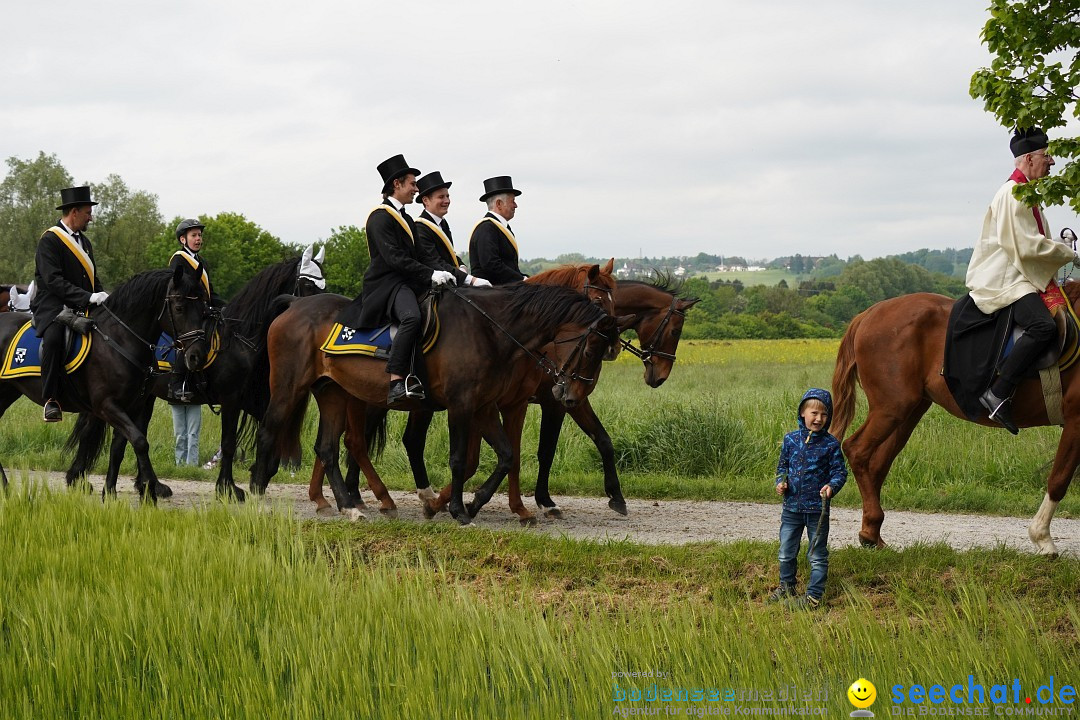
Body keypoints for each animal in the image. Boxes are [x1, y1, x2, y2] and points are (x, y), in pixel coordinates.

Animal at [0, 266, 206, 500]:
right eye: (179, 308)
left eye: (203, 308)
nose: (197, 356)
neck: (121, 339)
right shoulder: (107, 406)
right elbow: (139, 441)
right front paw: (149, 492)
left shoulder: (133, 405)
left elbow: (120, 447)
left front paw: (110, 492)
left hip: (8, 391)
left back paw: (6, 487)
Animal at [62, 252, 321, 500]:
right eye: (308, 285)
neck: (240, 338)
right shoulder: (231, 398)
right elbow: (230, 443)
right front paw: (228, 488)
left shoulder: (249, 400)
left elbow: (272, 431)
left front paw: (259, 474)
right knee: (93, 430)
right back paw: (86, 478)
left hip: (143, 399)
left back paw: (144, 484)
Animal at [250, 280, 626, 524]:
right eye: (590, 349)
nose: (571, 395)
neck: (491, 329)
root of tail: (295, 304)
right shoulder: (464, 404)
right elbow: (460, 459)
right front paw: (459, 509)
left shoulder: (485, 406)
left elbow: (506, 456)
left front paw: (472, 504)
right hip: (290, 388)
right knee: (272, 432)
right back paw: (255, 493)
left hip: (332, 393)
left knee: (328, 447)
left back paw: (348, 505)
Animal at [833, 284, 1080, 557]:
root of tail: (868, 313)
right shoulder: (1075, 419)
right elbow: (1059, 478)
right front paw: (1042, 538)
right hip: (891, 408)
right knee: (857, 450)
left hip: (909, 411)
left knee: (877, 463)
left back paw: (871, 534)